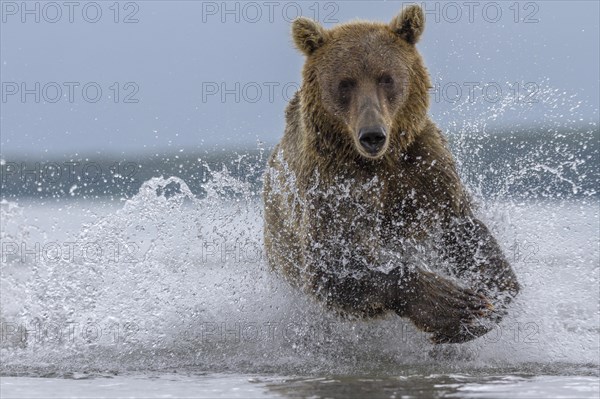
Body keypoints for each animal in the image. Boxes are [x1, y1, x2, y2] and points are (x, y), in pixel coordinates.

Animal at [264, 4, 520, 346]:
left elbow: (461, 227)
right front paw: (453, 306)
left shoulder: (426, 168)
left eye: (386, 78)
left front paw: (490, 299)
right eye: (345, 83)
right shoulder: (333, 184)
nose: (372, 135)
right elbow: (333, 268)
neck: (381, 163)